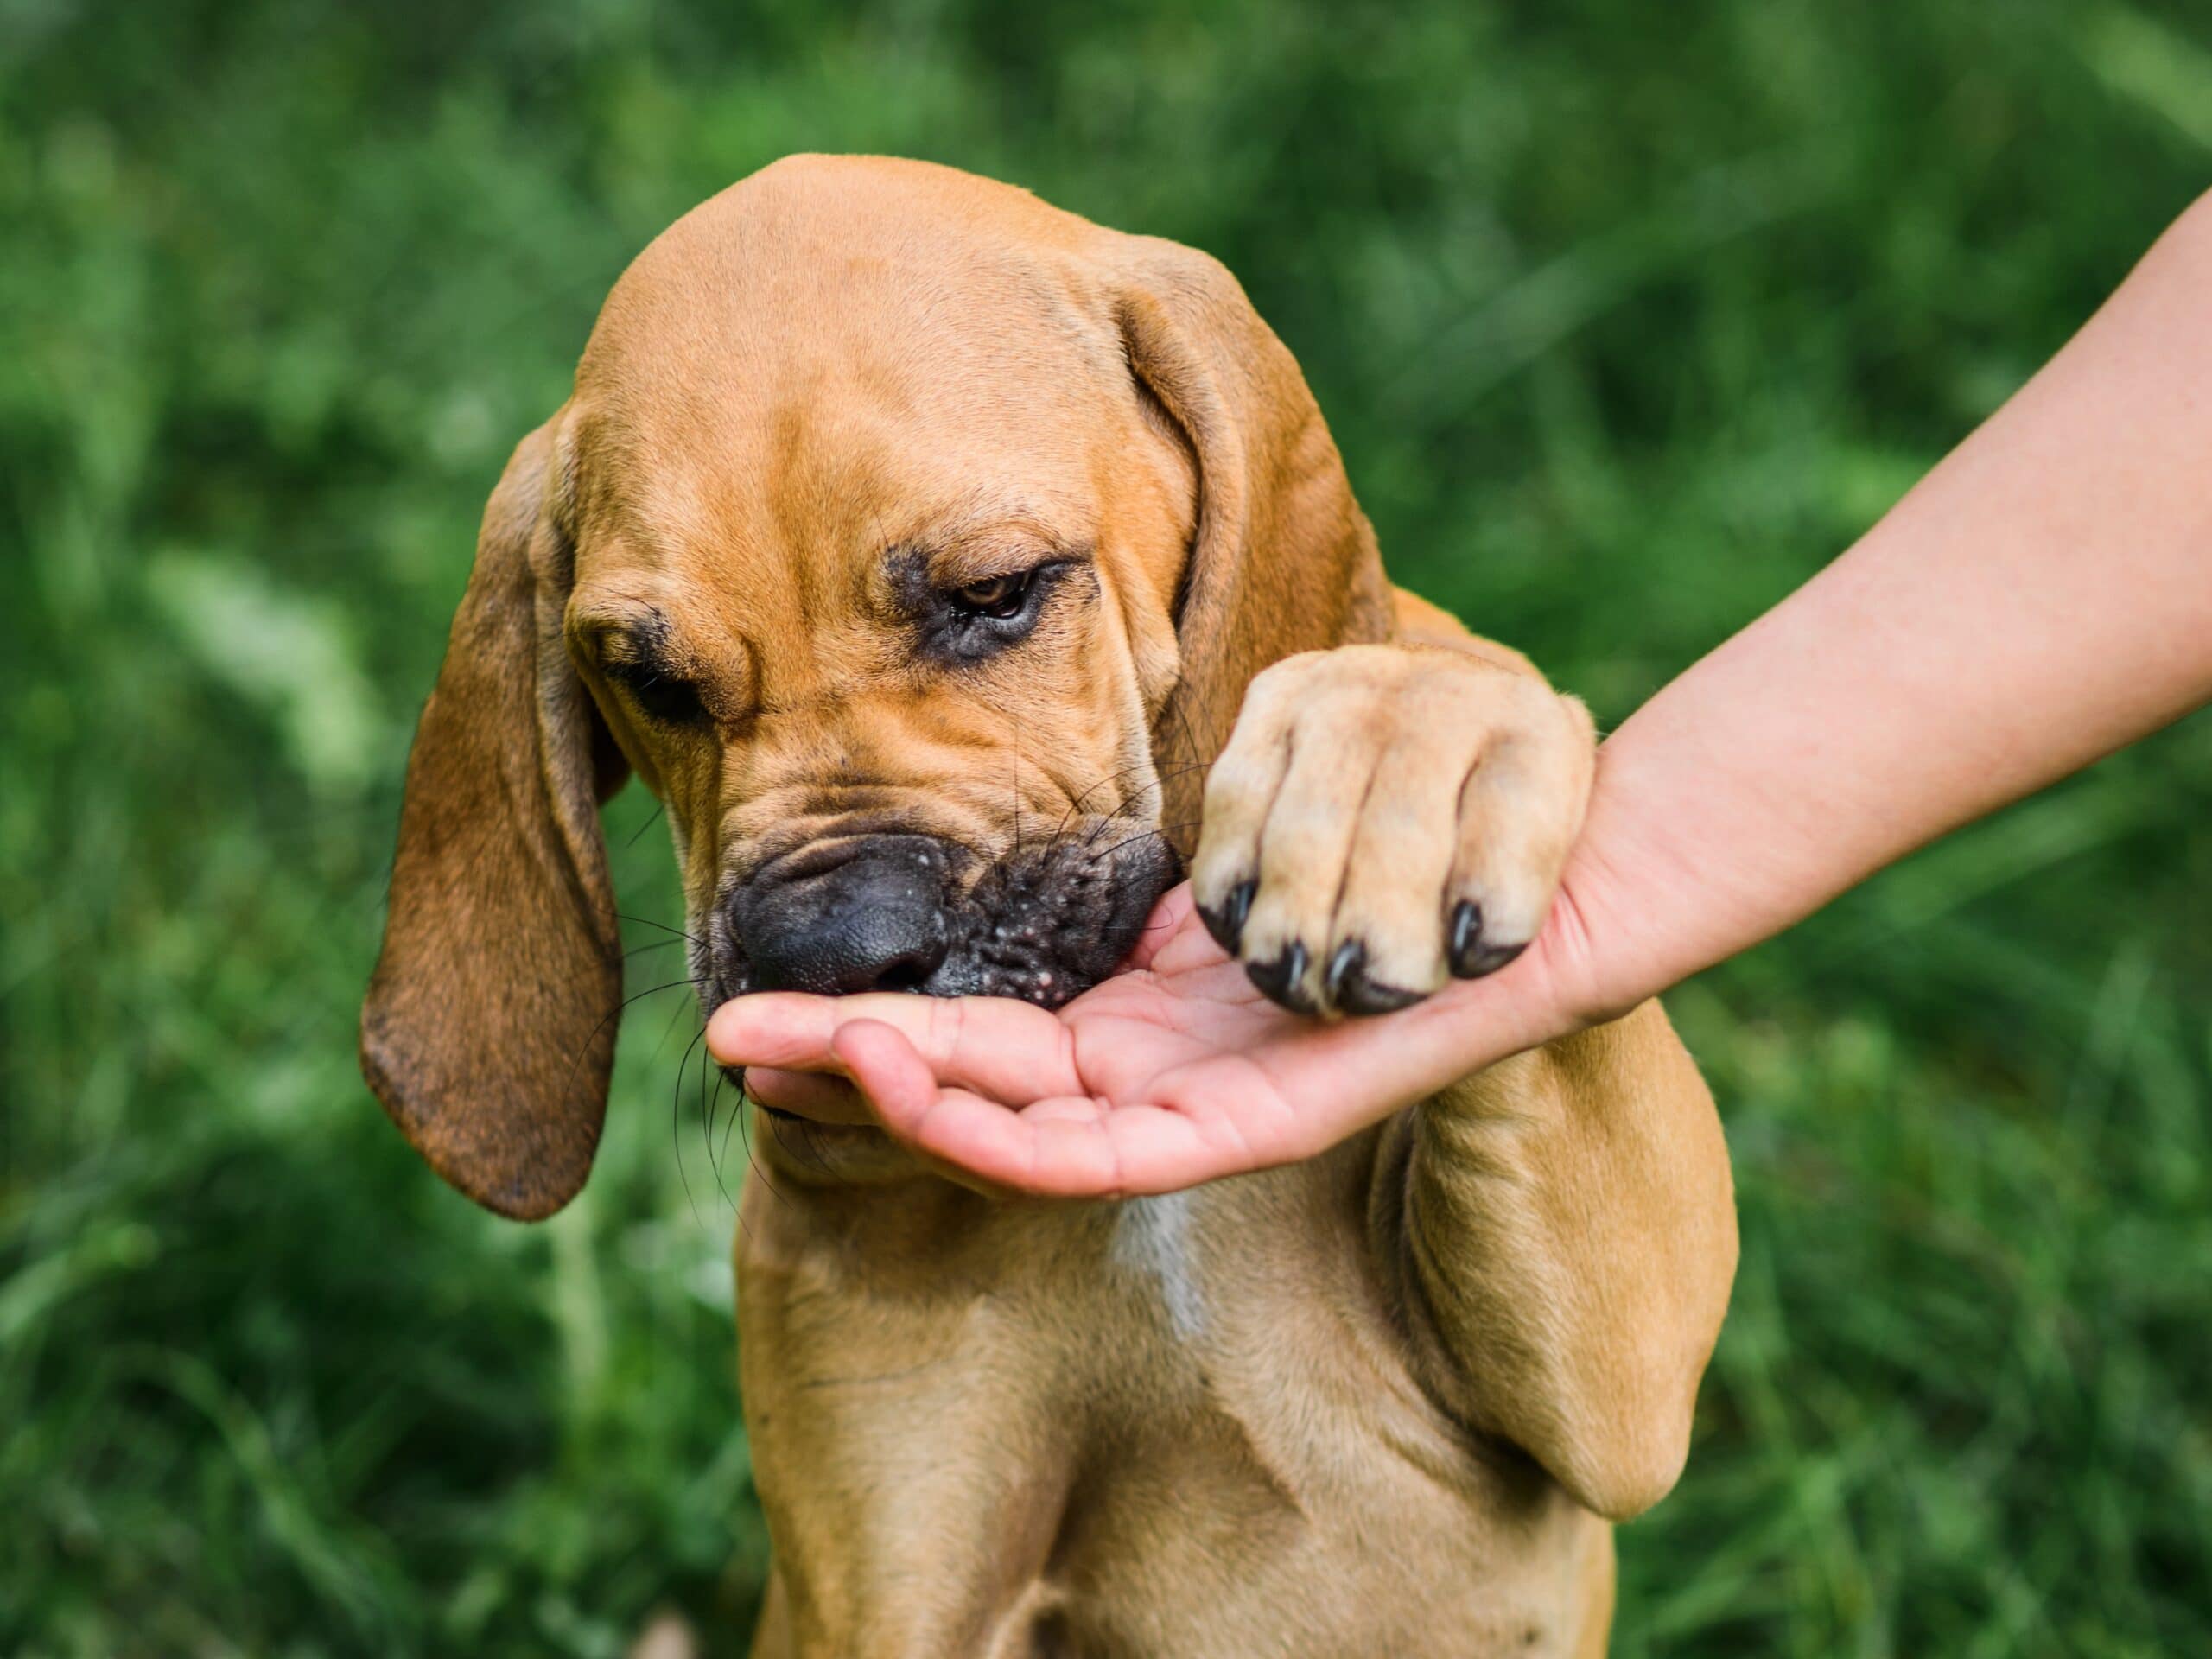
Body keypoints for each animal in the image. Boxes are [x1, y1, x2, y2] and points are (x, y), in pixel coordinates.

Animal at [362, 159, 1734, 1659]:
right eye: (647, 683)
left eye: (997, 595)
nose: (830, 958)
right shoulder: (892, 1572)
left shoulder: (1617, 1381)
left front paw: (1407, 752)